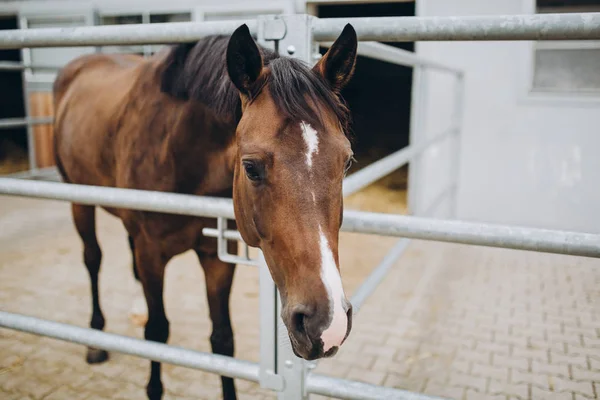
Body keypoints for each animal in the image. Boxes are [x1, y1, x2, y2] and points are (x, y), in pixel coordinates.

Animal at [52, 23, 356, 398]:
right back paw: (95, 339)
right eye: (251, 167)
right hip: (79, 201)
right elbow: (157, 333)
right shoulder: (152, 254)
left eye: (346, 162)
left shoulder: (215, 258)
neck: (176, 150)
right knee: (93, 258)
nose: (327, 324)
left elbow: (222, 339)